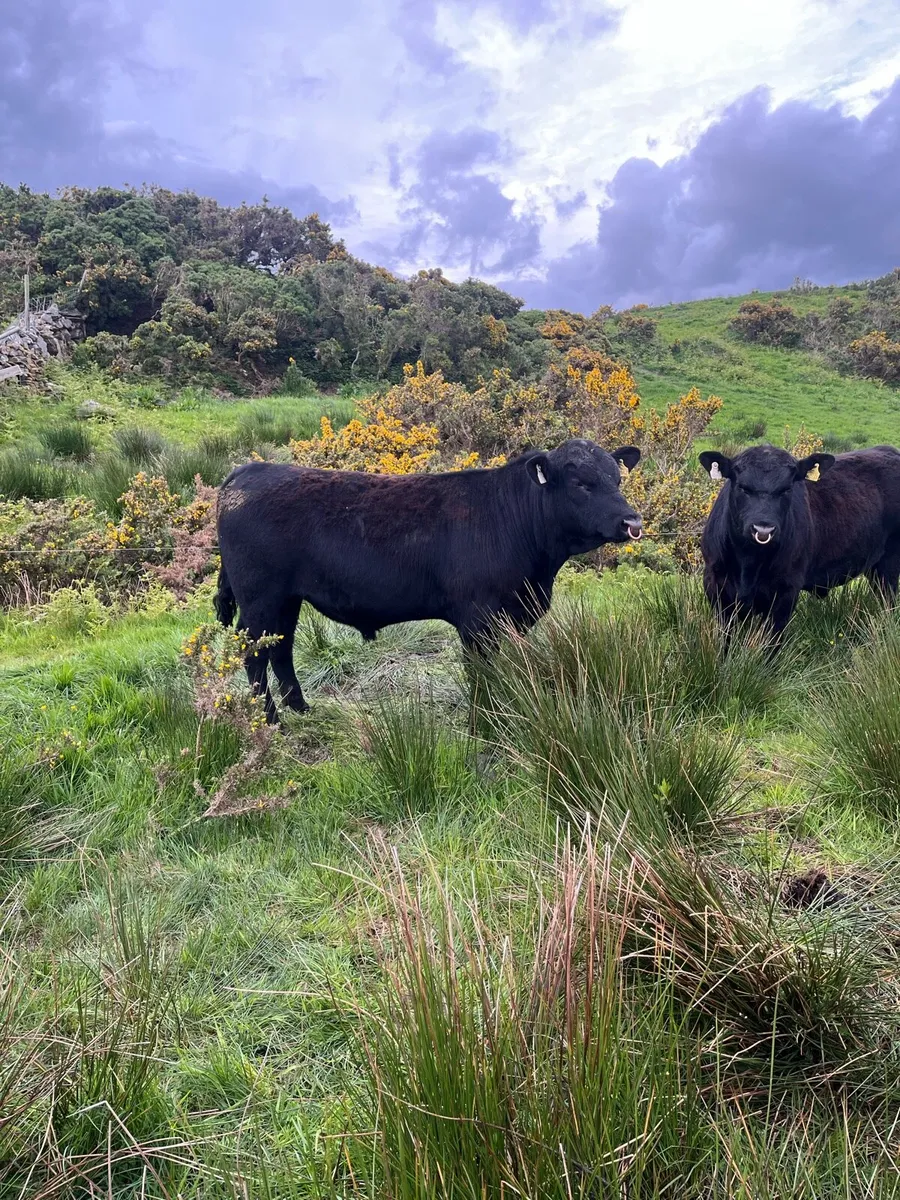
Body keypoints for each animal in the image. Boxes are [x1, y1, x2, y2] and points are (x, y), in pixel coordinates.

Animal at [214, 439, 643, 722]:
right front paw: (484, 721)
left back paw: (300, 707)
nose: (632, 521)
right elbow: (482, 675)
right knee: (253, 651)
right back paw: (270, 719)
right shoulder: (478, 620)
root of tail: (248, 470)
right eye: (581, 483)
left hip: (286, 599)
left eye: (617, 479)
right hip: (260, 598)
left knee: (280, 647)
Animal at [698, 443, 900, 637]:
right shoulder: (715, 585)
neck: (749, 564)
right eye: (742, 487)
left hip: (888, 565)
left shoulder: (786, 591)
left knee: (888, 603)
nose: (763, 529)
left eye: (787, 488)